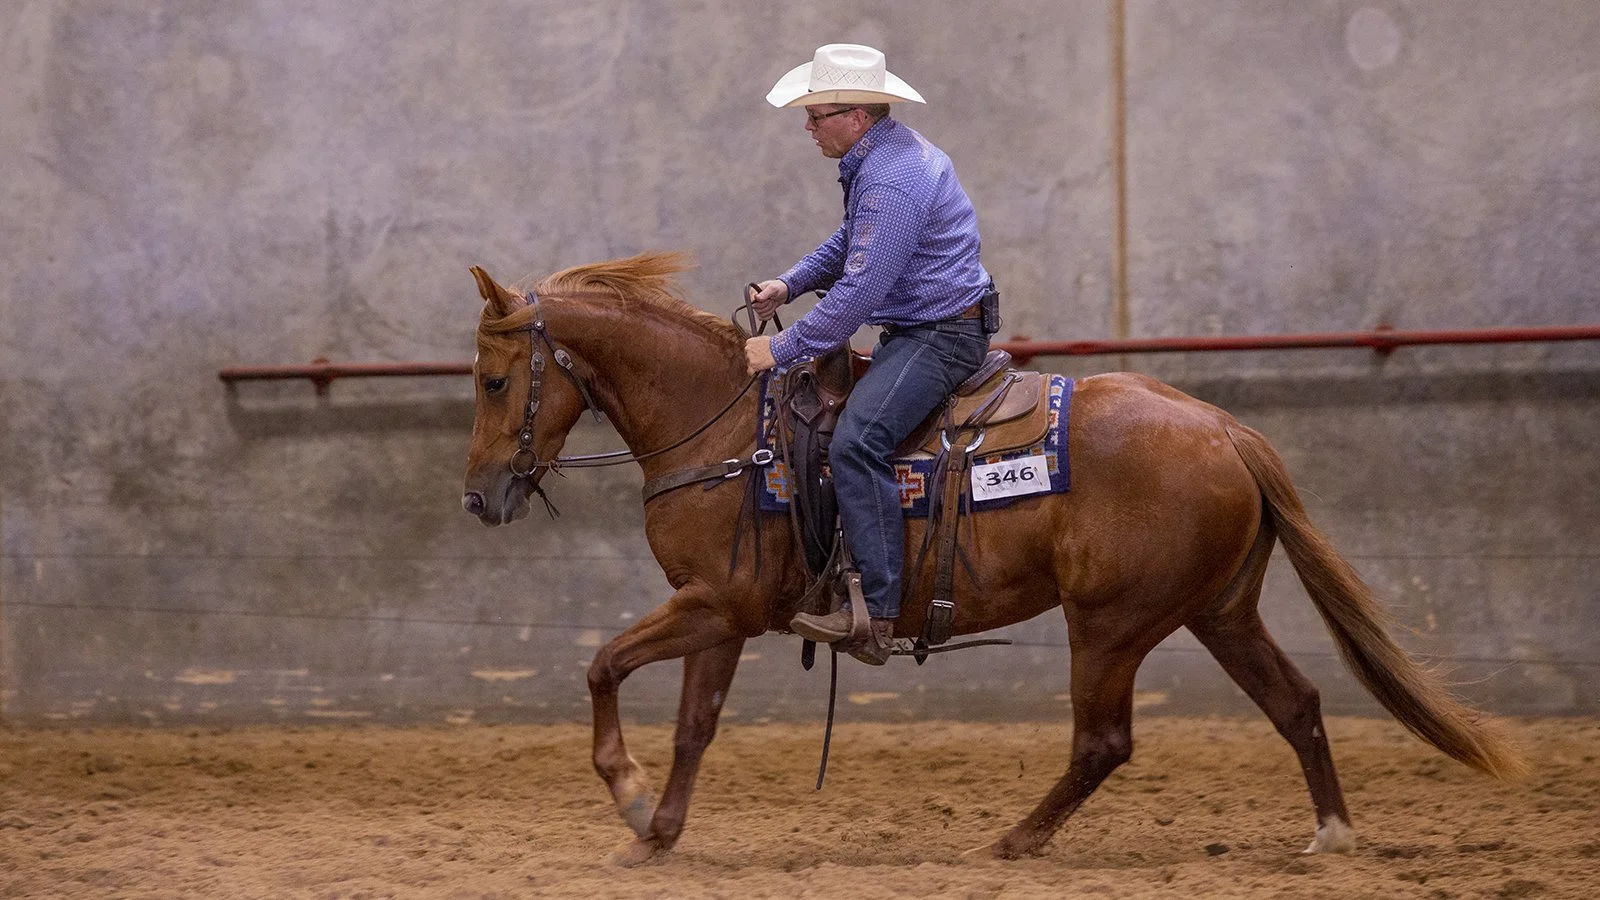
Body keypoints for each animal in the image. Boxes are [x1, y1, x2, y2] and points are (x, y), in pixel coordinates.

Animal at [460, 251, 1524, 866]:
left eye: (496, 379)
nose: (479, 497)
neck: (724, 427)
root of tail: (1225, 429)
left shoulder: (713, 603)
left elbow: (603, 666)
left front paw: (630, 795)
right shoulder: (717, 610)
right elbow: (694, 725)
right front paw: (658, 833)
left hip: (1111, 622)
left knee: (1104, 741)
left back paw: (1014, 840)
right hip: (1217, 611)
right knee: (1295, 702)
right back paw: (1331, 834)